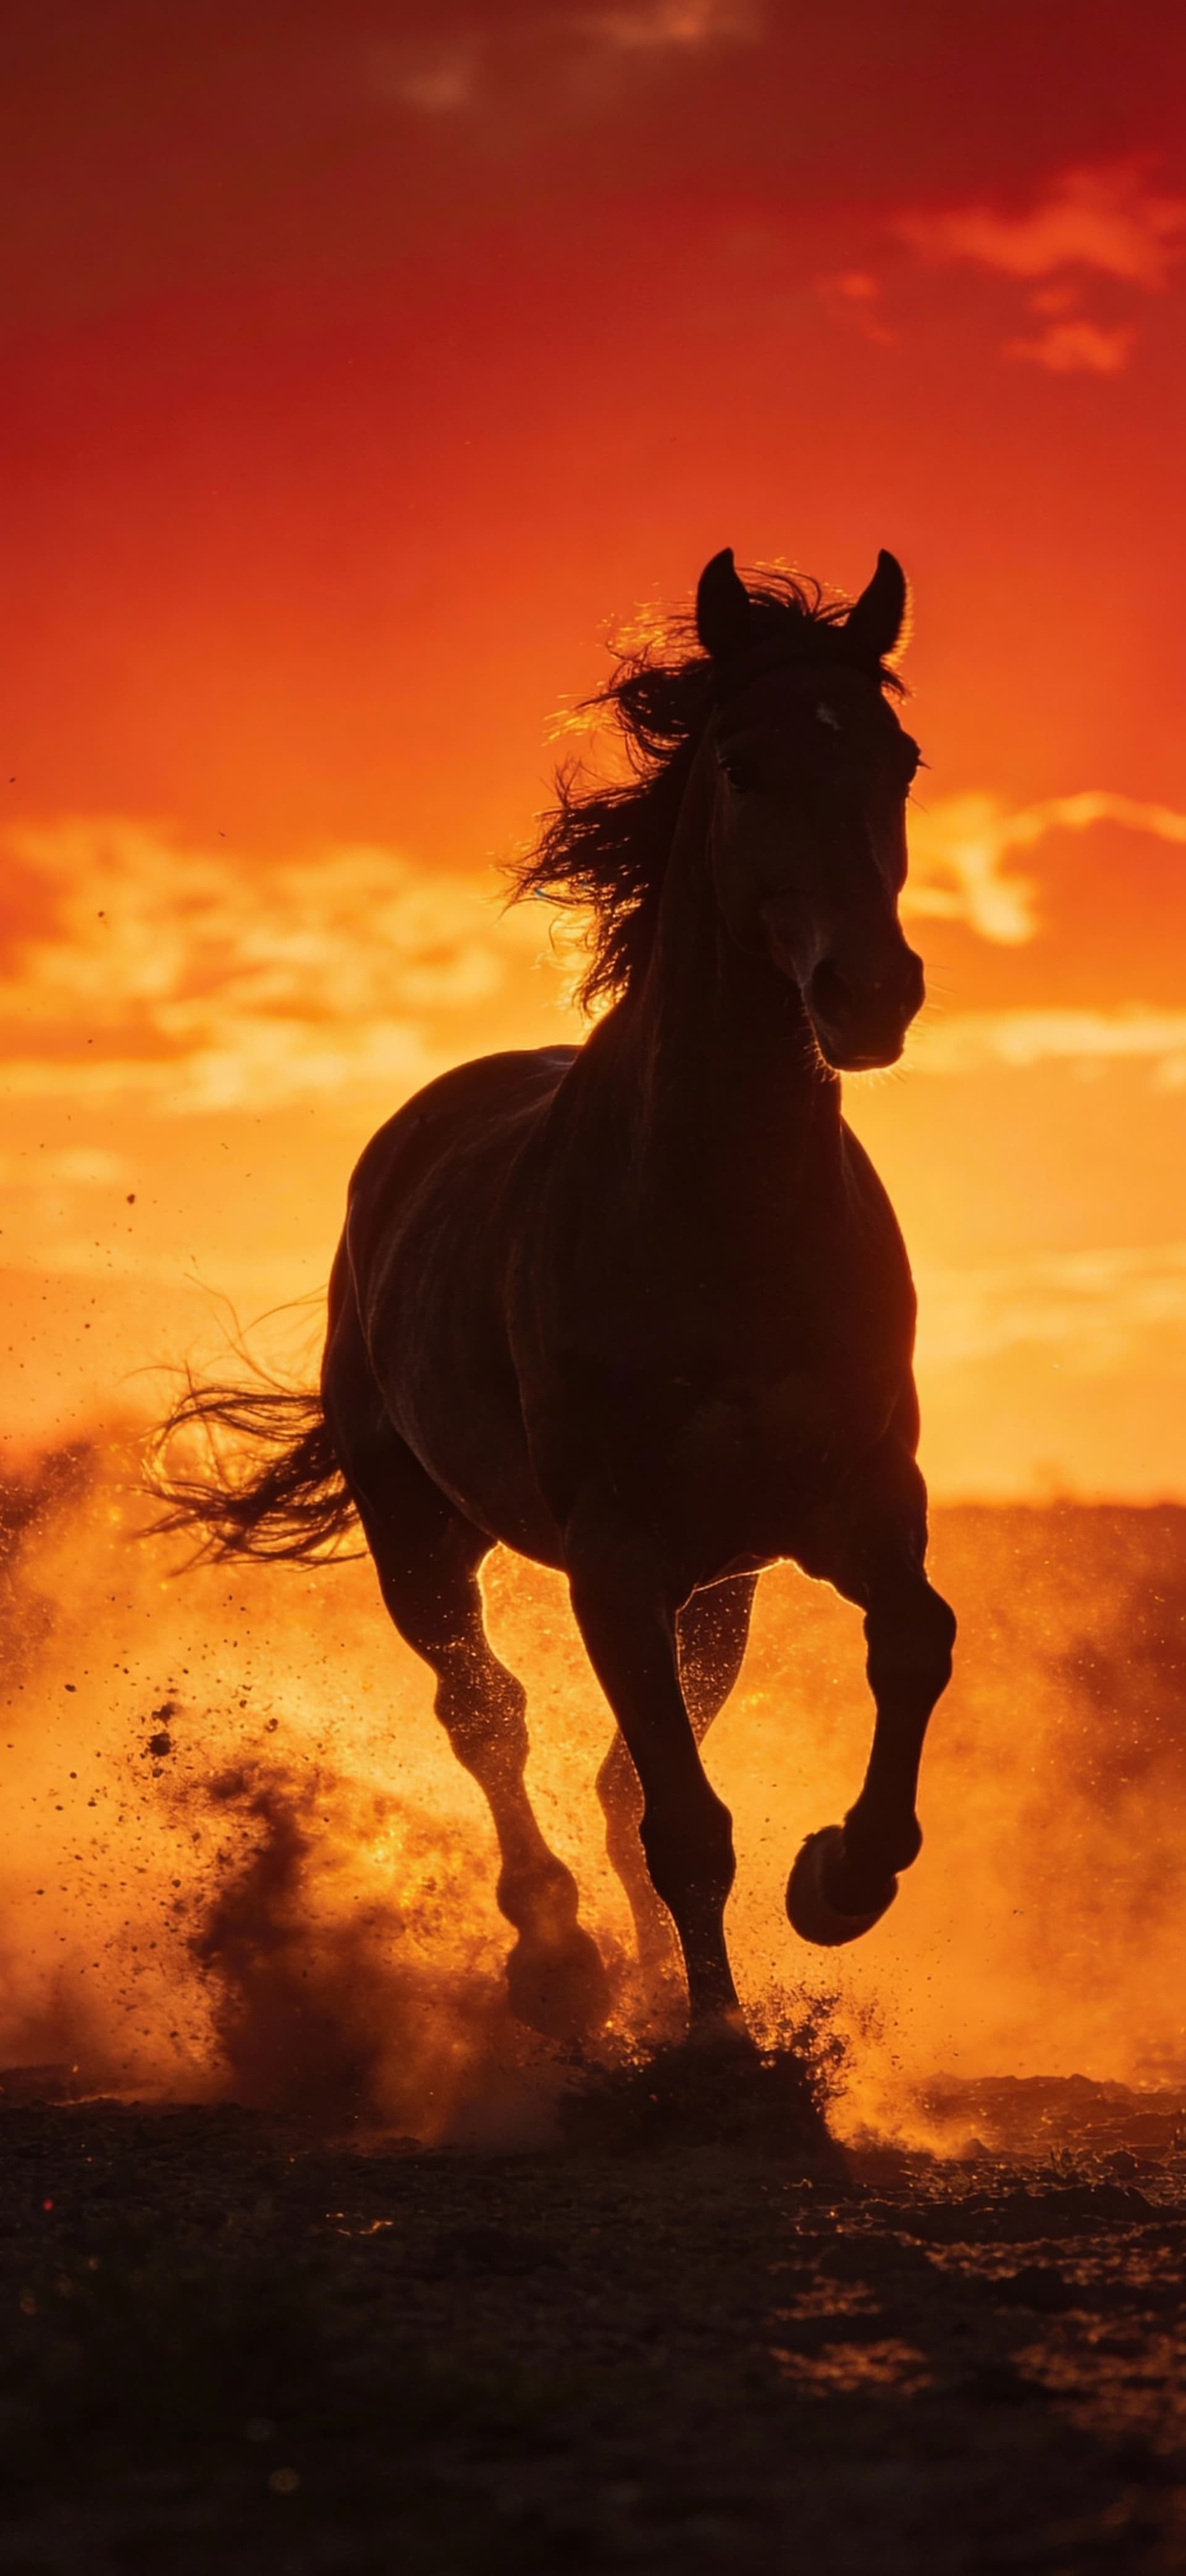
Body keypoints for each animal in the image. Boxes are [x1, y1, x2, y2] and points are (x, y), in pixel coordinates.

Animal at [154, 544, 956, 2048]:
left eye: (899, 759)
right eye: (746, 762)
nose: (869, 993)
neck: (722, 1224)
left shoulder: (843, 1509)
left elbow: (913, 1644)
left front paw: (839, 1878)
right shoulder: (616, 1556)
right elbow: (683, 1822)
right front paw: (718, 2046)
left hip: (720, 1589)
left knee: (603, 1766)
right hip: (423, 1534)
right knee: (488, 1715)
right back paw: (560, 1959)